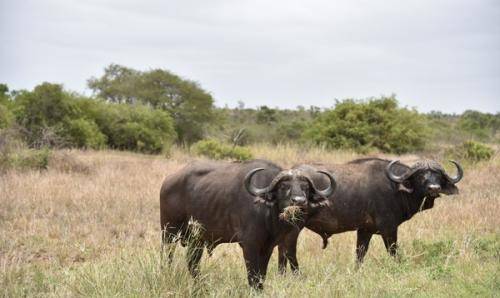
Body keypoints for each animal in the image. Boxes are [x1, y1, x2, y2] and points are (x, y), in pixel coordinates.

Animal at [160, 159, 336, 290]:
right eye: (284, 186)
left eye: (305, 187)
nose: (299, 201)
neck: (268, 214)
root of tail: (169, 180)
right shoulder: (249, 245)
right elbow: (252, 275)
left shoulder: (268, 246)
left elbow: (261, 275)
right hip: (169, 232)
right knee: (167, 256)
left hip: (196, 240)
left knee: (192, 263)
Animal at [278, 158, 460, 272]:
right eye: (421, 175)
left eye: (438, 175)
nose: (434, 188)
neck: (395, 188)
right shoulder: (389, 229)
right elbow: (393, 252)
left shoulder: (365, 230)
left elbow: (360, 254)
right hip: (295, 227)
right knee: (289, 251)